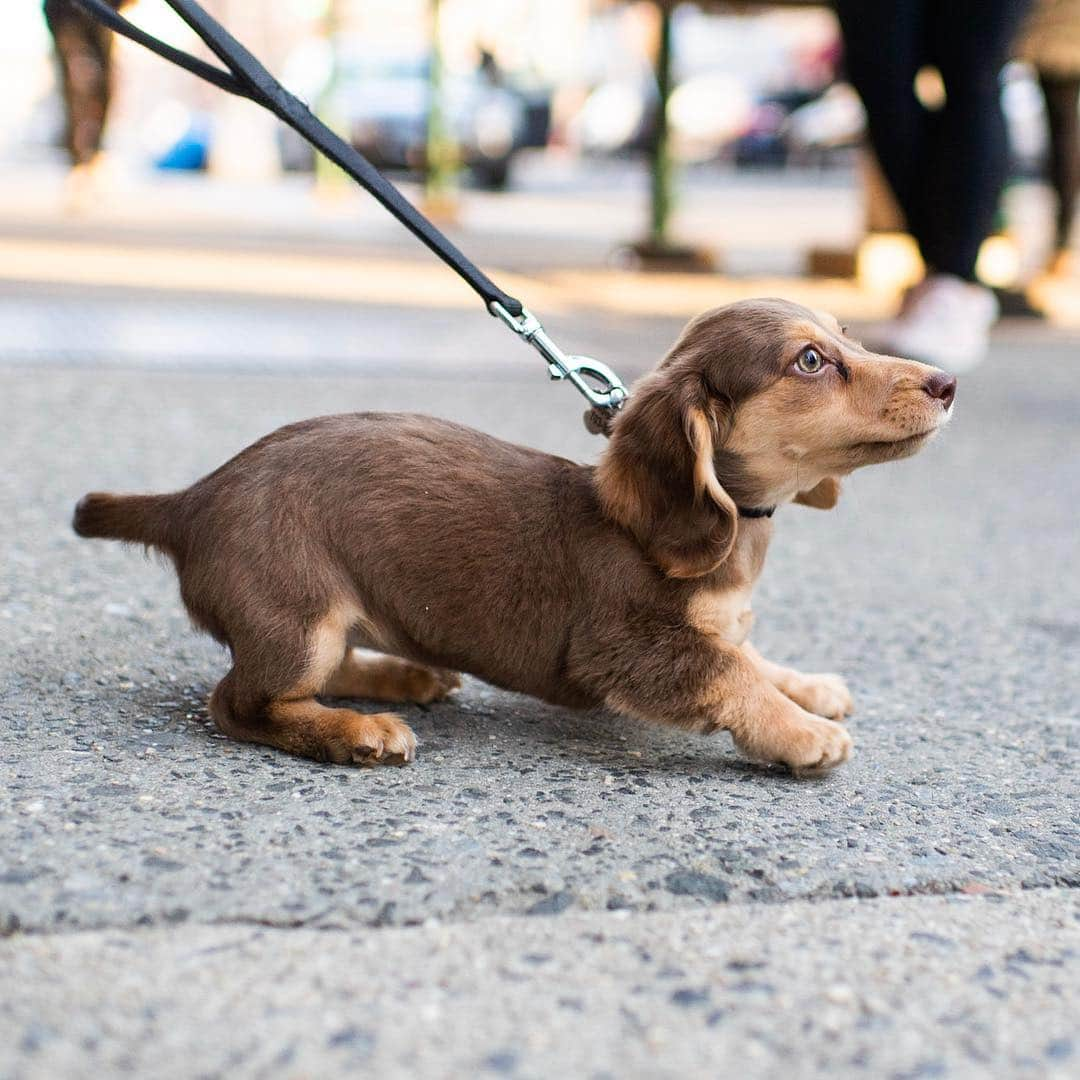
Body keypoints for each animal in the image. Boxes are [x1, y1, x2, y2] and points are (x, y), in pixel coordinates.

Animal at [73, 298, 954, 777]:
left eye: (848, 336)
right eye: (809, 361)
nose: (948, 382)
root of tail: (193, 500)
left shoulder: (707, 628)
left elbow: (747, 654)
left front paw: (807, 687)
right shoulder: (625, 647)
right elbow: (729, 673)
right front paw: (802, 732)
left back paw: (404, 676)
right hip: (299, 616)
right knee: (237, 703)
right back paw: (356, 732)